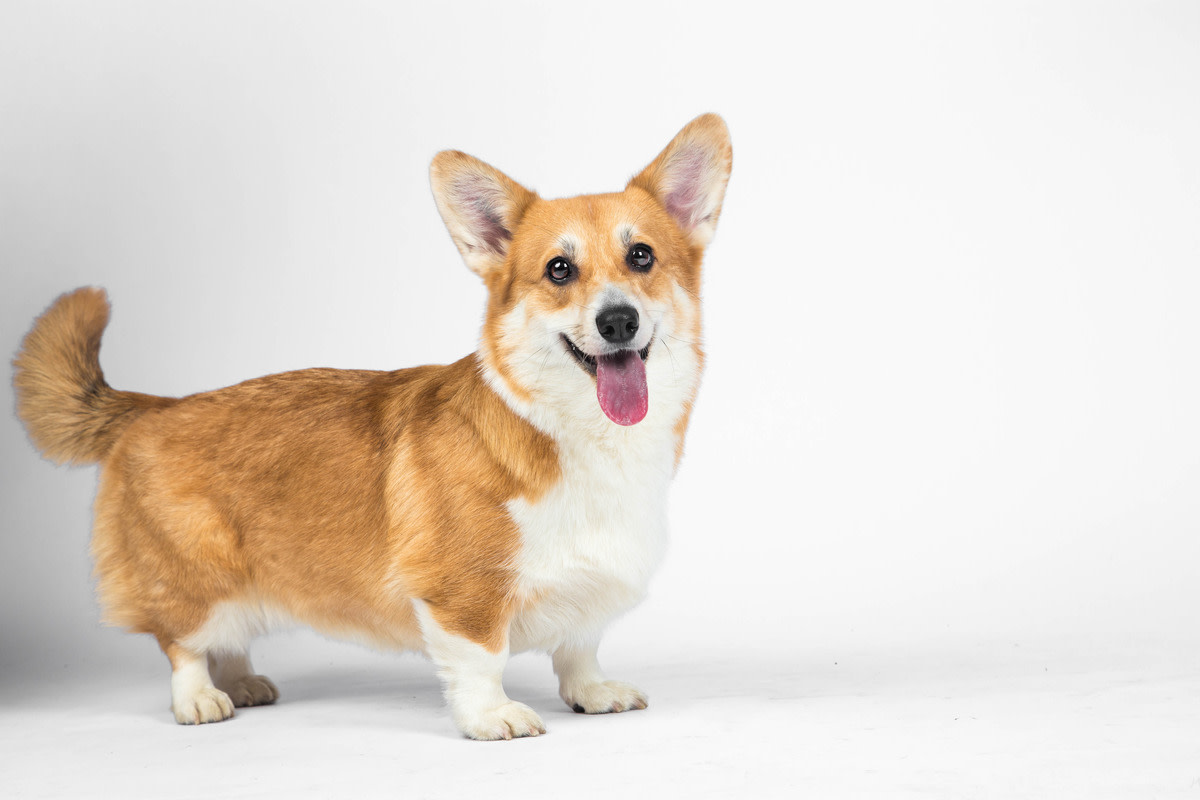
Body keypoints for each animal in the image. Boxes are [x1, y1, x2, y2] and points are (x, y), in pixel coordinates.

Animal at [14, 112, 729, 738]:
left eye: (642, 256)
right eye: (559, 269)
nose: (618, 321)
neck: (577, 434)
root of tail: (154, 405)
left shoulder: (589, 584)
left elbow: (579, 646)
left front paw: (591, 691)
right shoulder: (461, 593)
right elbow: (482, 659)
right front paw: (491, 718)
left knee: (228, 639)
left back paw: (242, 681)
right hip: (195, 573)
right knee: (184, 641)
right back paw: (201, 698)